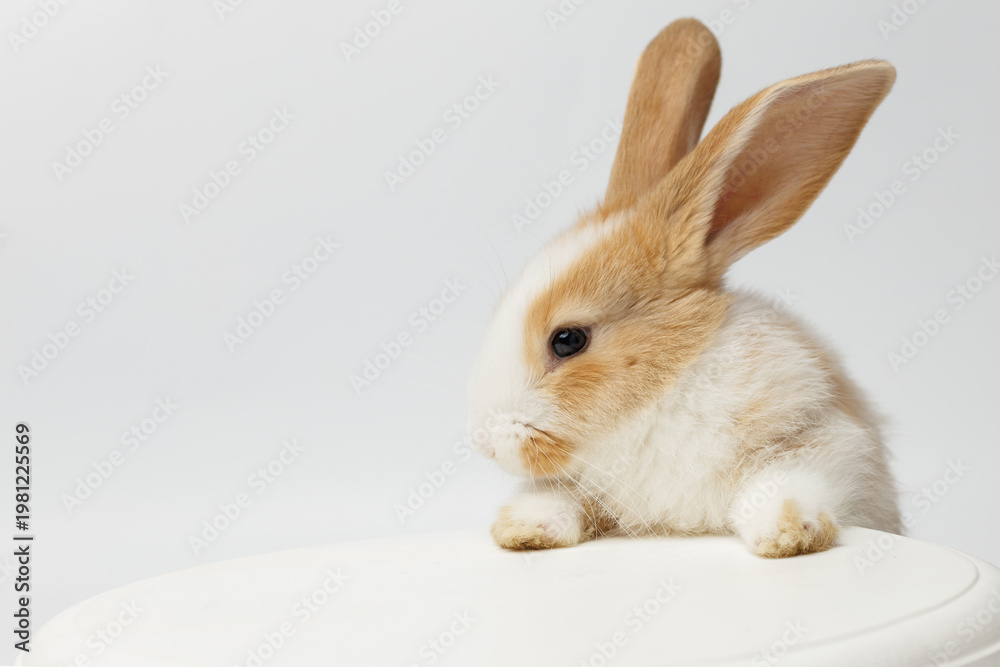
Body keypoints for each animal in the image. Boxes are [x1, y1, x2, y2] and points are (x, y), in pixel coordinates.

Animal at [467, 18, 902, 558]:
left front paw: (786, 534)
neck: (656, 402)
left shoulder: (825, 440)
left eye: (568, 340)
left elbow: (782, 483)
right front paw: (523, 527)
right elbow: (563, 497)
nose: (483, 441)